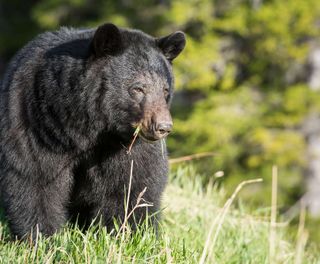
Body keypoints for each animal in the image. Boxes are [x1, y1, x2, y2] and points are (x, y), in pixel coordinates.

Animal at [0, 22, 185, 239]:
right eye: (138, 88)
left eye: (165, 90)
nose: (163, 126)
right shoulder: (37, 124)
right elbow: (35, 178)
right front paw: (41, 236)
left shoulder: (127, 147)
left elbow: (132, 185)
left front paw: (129, 233)